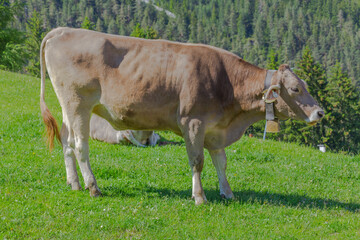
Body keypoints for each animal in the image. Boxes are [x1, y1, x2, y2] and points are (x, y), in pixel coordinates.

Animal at [40, 27, 324, 204]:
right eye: (296, 89)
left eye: (305, 85)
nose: (320, 112)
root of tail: (62, 30)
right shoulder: (193, 122)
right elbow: (197, 161)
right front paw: (199, 196)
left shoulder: (215, 128)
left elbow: (221, 162)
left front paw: (228, 193)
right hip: (79, 103)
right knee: (80, 145)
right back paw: (93, 187)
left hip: (67, 106)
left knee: (66, 141)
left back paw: (74, 183)